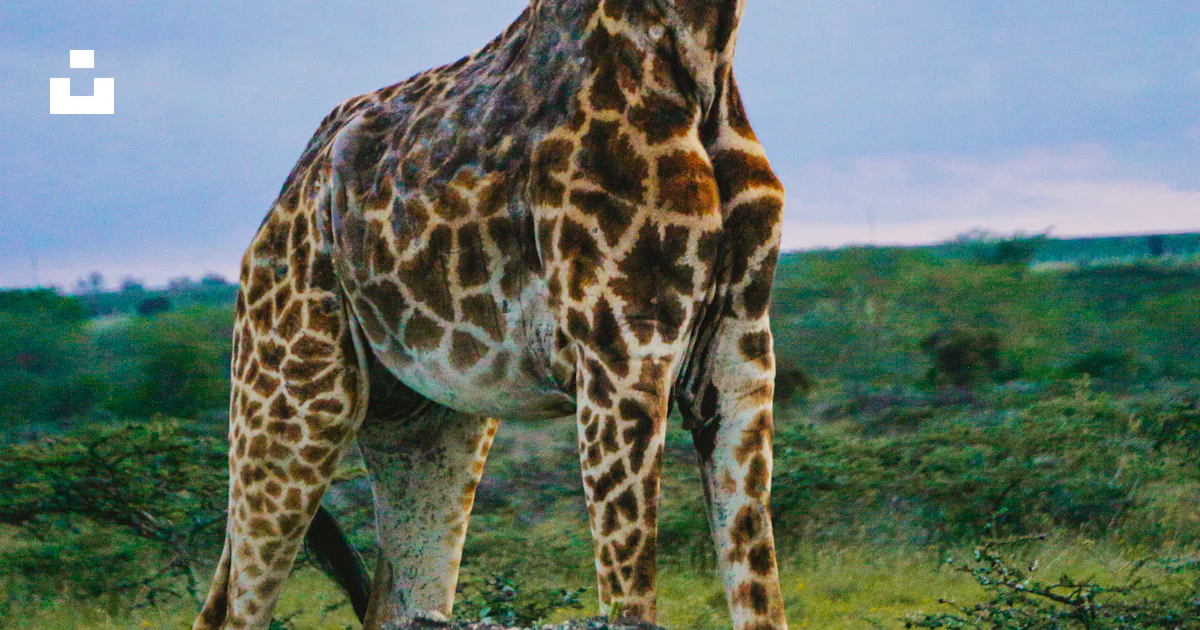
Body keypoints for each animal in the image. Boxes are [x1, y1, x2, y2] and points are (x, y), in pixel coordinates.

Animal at [194, 1, 787, 628]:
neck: (704, 55)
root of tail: (283, 199)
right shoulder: (620, 347)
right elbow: (631, 601)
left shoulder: (739, 354)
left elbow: (760, 593)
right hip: (291, 394)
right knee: (237, 606)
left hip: (428, 423)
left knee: (394, 599)